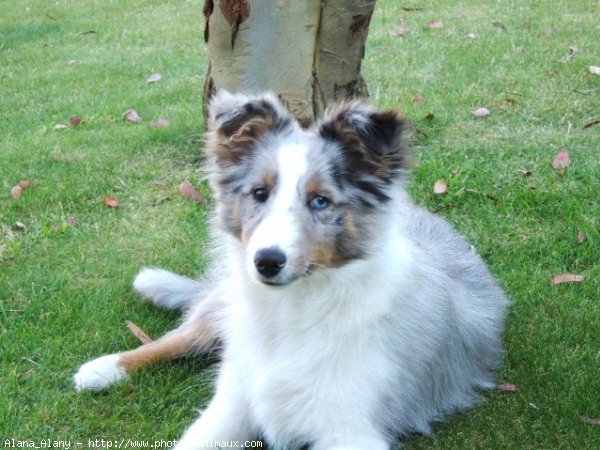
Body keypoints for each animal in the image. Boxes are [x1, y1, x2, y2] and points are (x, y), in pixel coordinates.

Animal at [72, 91, 508, 450]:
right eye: (259, 193)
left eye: (320, 201)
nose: (266, 261)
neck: (294, 309)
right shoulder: (231, 404)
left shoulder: (350, 430)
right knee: (180, 336)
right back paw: (103, 368)